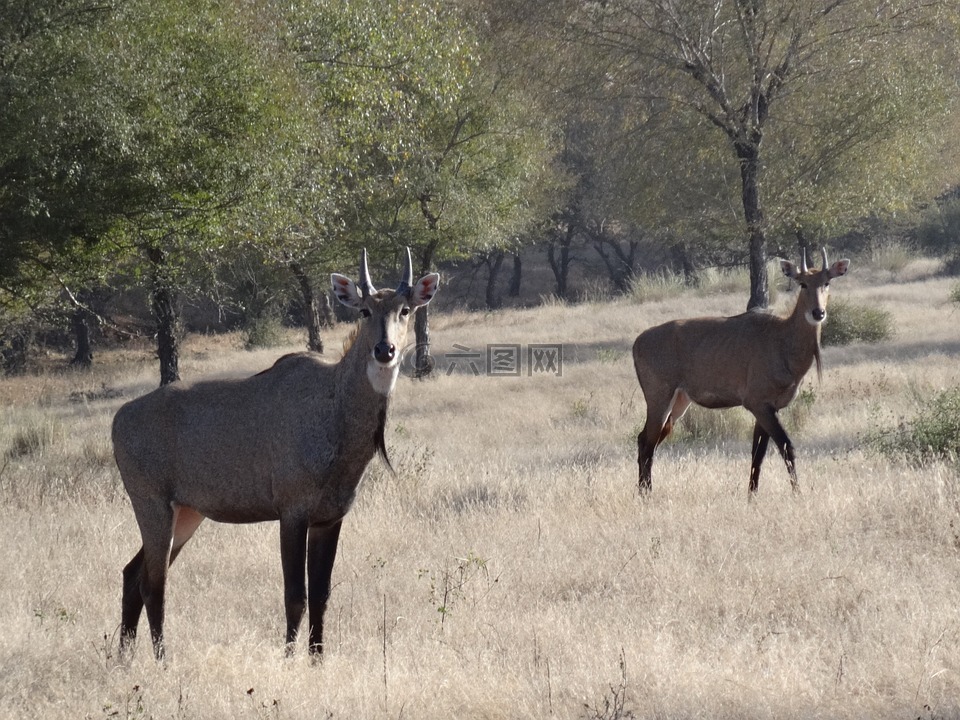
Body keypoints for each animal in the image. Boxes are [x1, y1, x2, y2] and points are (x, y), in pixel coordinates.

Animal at [112, 248, 438, 660]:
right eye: (364, 310)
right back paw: (161, 663)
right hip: (152, 505)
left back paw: (123, 660)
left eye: (405, 310)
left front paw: (317, 660)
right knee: (154, 584)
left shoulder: (329, 519)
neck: (333, 408)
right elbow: (295, 595)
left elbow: (321, 596)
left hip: (186, 514)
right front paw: (288, 660)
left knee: (132, 574)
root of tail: (118, 420)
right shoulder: (292, 513)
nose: (385, 350)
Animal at [632, 249, 852, 496]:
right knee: (647, 443)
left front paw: (752, 495)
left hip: (679, 403)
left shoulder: (769, 408)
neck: (782, 340)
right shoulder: (758, 404)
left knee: (645, 439)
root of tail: (637, 343)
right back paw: (646, 495)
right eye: (802, 283)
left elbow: (758, 454)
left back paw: (643, 491)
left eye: (827, 282)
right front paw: (798, 493)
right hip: (659, 398)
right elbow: (786, 446)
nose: (818, 312)